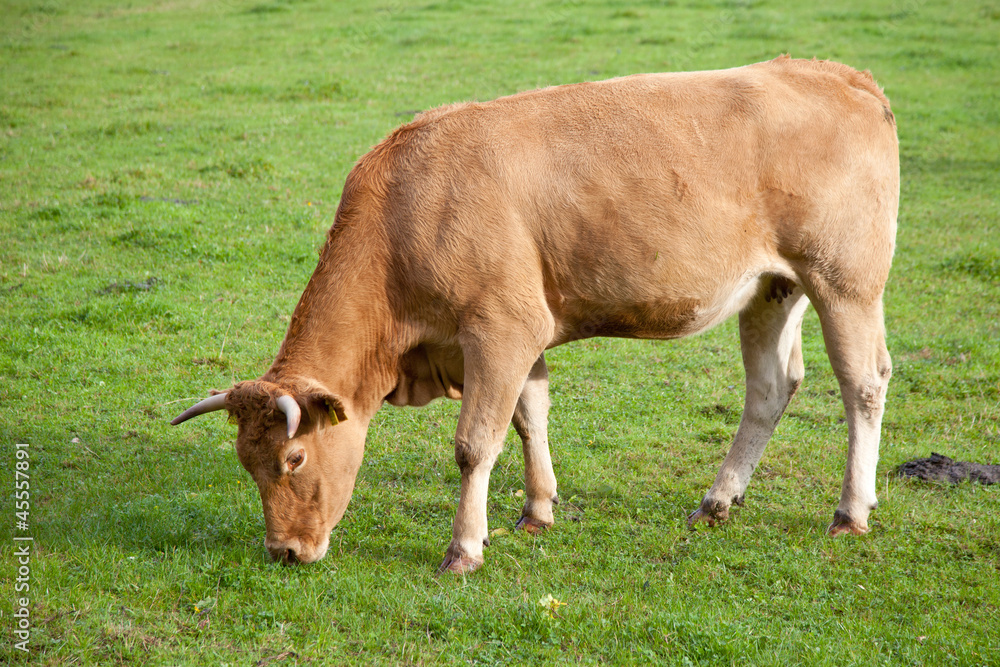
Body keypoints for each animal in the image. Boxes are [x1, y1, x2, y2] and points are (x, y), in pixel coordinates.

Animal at [172, 56, 900, 576]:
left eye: (293, 458)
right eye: (246, 460)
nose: (285, 551)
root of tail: (835, 72)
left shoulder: (500, 327)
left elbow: (475, 442)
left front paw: (465, 548)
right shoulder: (520, 330)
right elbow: (530, 416)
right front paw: (537, 510)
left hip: (845, 282)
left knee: (864, 384)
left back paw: (850, 511)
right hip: (773, 287)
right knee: (770, 388)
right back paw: (718, 501)